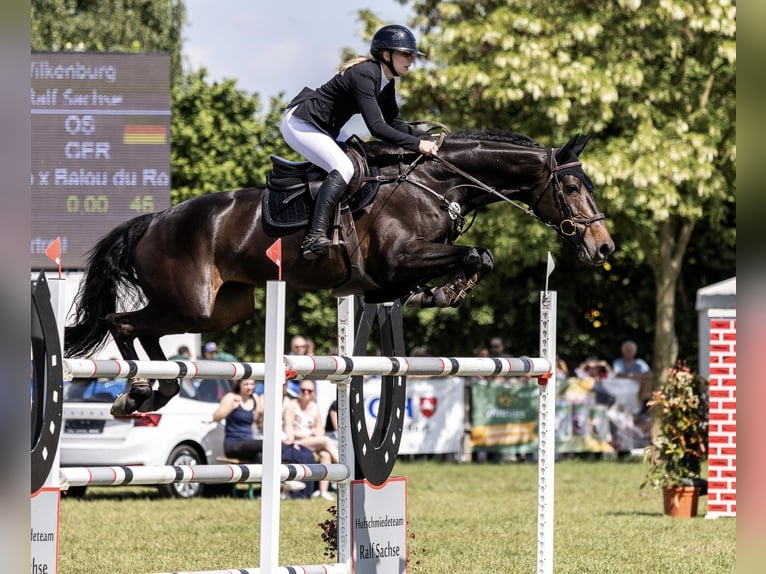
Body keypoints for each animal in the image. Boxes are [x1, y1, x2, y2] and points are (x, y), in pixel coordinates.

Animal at [66, 128, 616, 416]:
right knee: (123, 323)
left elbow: (469, 260)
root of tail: (154, 220)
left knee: (150, 334)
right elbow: (477, 254)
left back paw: (154, 392)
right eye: (572, 189)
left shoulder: (395, 270)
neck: (436, 182)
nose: (603, 247)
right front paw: (444, 291)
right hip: (191, 302)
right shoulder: (397, 257)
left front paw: (435, 293)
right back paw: (134, 394)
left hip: (220, 311)